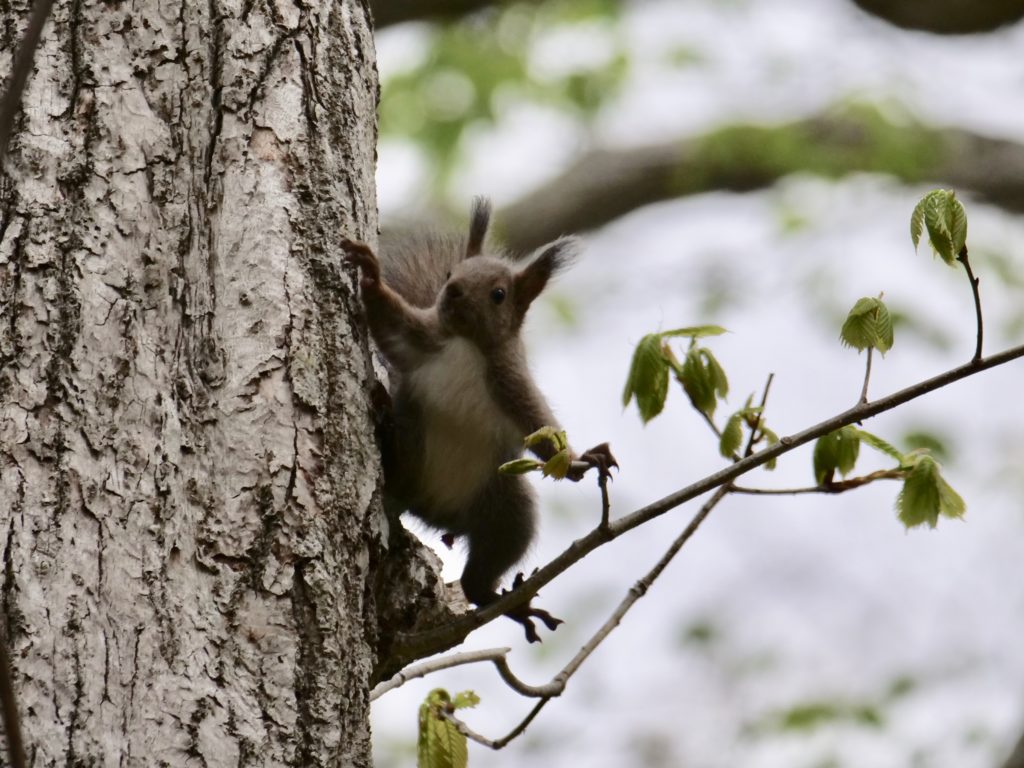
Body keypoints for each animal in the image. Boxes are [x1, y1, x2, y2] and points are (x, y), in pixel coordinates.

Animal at [344, 198, 614, 643]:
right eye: (451, 274)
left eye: (498, 294)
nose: (451, 291)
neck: (465, 344)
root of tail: (435, 511)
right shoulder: (418, 339)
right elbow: (389, 322)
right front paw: (370, 275)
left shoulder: (512, 385)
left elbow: (541, 433)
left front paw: (579, 462)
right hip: (415, 453)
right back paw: (384, 419)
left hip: (505, 507)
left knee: (485, 568)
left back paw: (505, 603)